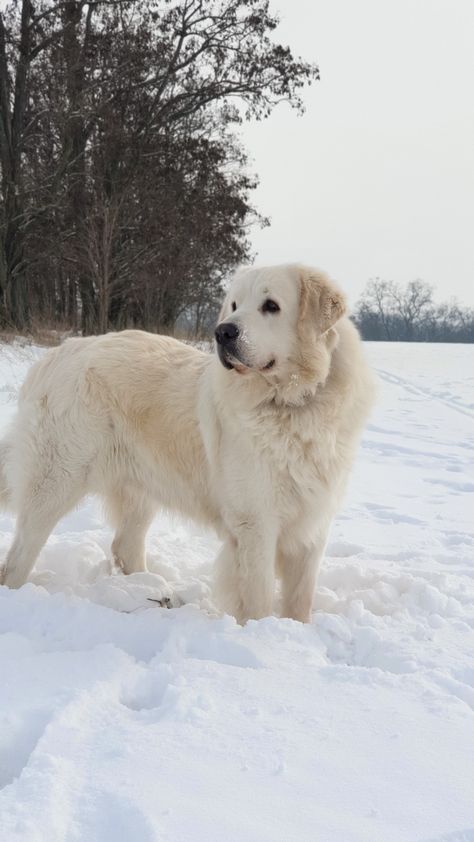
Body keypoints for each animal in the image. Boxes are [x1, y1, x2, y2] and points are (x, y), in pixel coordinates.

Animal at [1, 266, 376, 620]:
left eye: (271, 306)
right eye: (234, 305)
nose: (223, 332)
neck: (293, 404)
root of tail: (56, 354)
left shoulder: (313, 522)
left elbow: (301, 599)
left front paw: (295, 628)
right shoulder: (255, 523)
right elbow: (257, 595)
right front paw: (259, 629)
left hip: (140, 488)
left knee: (125, 545)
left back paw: (149, 592)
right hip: (57, 480)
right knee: (18, 557)